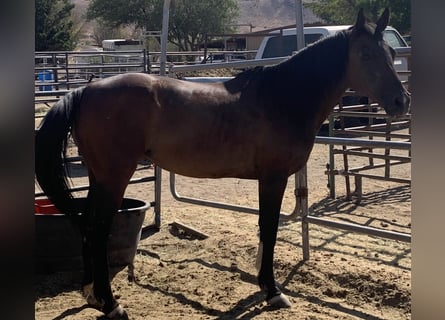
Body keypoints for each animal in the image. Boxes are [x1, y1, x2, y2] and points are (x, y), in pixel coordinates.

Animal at [34, 8, 410, 318]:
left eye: (392, 53)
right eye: (365, 55)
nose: (400, 101)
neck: (282, 98)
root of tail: (86, 90)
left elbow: (265, 229)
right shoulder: (273, 178)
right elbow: (269, 229)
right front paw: (272, 291)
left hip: (99, 177)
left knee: (87, 224)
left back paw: (91, 295)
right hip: (115, 176)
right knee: (98, 229)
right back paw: (111, 303)